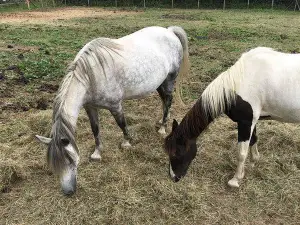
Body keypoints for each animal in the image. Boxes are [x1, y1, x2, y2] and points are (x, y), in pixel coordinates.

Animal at [164, 47, 300, 188]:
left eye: (176, 152)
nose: (173, 177)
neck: (242, 81)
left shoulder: (245, 122)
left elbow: (241, 153)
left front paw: (236, 179)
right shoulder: (251, 121)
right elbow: (253, 140)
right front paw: (254, 161)